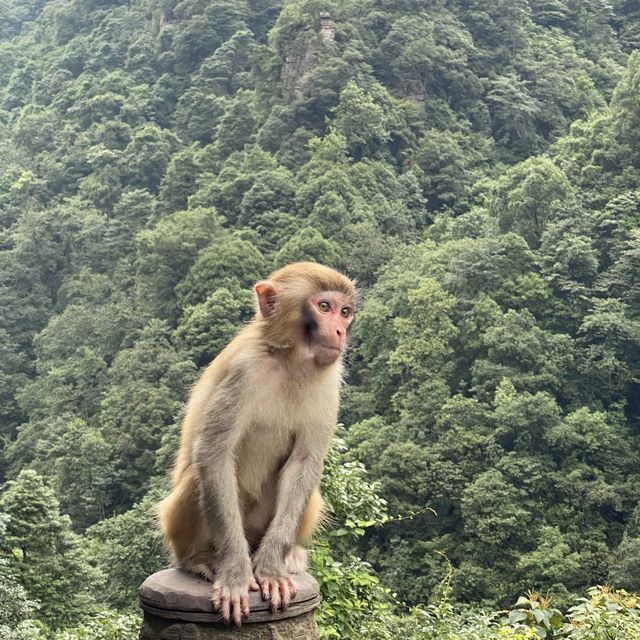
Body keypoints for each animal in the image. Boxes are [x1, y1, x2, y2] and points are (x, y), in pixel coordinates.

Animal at [155, 260, 356, 624]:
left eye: (345, 312)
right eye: (324, 307)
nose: (339, 332)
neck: (289, 361)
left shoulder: (329, 381)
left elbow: (304, 462)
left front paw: (273, 568)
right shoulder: (244, 370)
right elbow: (214, 453)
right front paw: (235, 574)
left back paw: (289, 556)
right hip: (177, 526)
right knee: (198, 478)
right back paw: (200, 559)